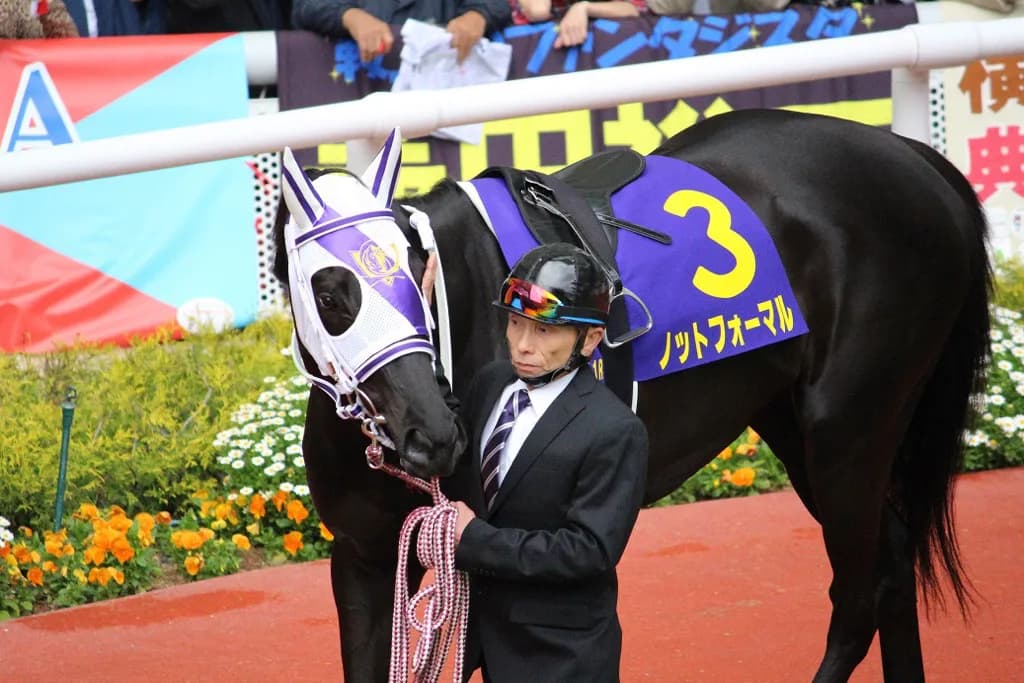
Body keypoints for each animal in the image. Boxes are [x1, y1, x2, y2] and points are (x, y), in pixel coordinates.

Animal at [271, 108, 990, 683]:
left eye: (415, 271)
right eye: (330, 292)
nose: (434, 434)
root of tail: (915, 157)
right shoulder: (363, 556)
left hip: (850, 424)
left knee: (859, 596)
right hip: (795, 423)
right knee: (892, 563)